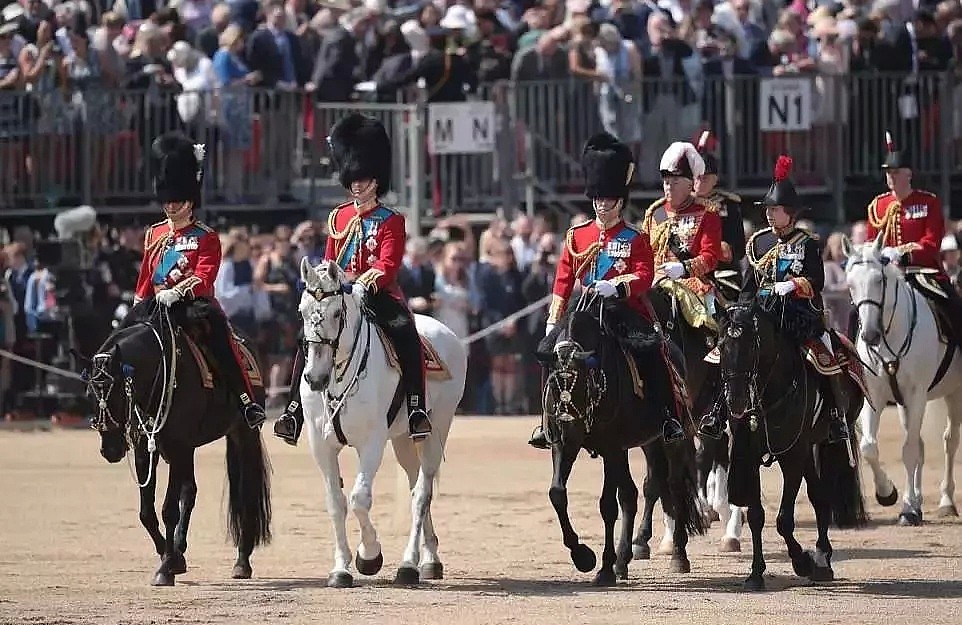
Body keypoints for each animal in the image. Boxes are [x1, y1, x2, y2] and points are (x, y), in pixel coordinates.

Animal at [77, 300, 274, 588]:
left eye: (116, 394)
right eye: (90, 393)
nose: (110, 449)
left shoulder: (178, 445)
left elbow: (168, 509)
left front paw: (166, 568)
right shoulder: (147, 450)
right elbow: (147, 512)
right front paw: (171, 557)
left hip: (242, 434)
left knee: (244, 493)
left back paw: (242, 561)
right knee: (190, 491)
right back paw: (181, 548)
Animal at [298, 258, 466, 584]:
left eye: (336, 312)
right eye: (301, 310)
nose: (315, 377)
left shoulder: (372, 443)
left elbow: (359, 499)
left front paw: (369, 556)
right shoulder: (320, 446)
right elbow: (336, 503)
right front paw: (340, 568)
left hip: (435, 431)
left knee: (422, 494)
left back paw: (409, 564)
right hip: (403, 441)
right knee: (415, 487)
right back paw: (430, 558)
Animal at [536, 292, 700, 584]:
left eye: (581, 381)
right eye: (553, 383)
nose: (568, 426)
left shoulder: (611, 447)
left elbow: (608, 505)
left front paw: (601, 567)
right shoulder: (565, 446)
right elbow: (557, 493)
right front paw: (583, 556)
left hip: (673, 440)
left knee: (674, 486)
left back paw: (678, 555)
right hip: (646, 443)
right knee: (636, 492)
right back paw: (624, 560)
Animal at [720, 300, 864, 588]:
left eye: (751, 346)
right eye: (721, 346)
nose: (736, 402)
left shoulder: (793, 456)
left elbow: (784, 520)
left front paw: (802, 562)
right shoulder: (750, 455)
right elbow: (756, 516)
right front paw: (756, 573)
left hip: (824, 444)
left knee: (823, 496)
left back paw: (821, 561)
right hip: (808, 450)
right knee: (819, 497)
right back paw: (822, 560)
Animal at [840, 236, 960, 524]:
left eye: (879, 280)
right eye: (850, 284)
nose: (870, 335)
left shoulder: (917, 395)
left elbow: (909, 450)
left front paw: (907, 509)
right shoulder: (875, 395)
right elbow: (870, 446)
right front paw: (888, 494)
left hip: (954, 393)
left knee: (949, 441)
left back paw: (946, 501)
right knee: (921, 444)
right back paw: (917, 499)